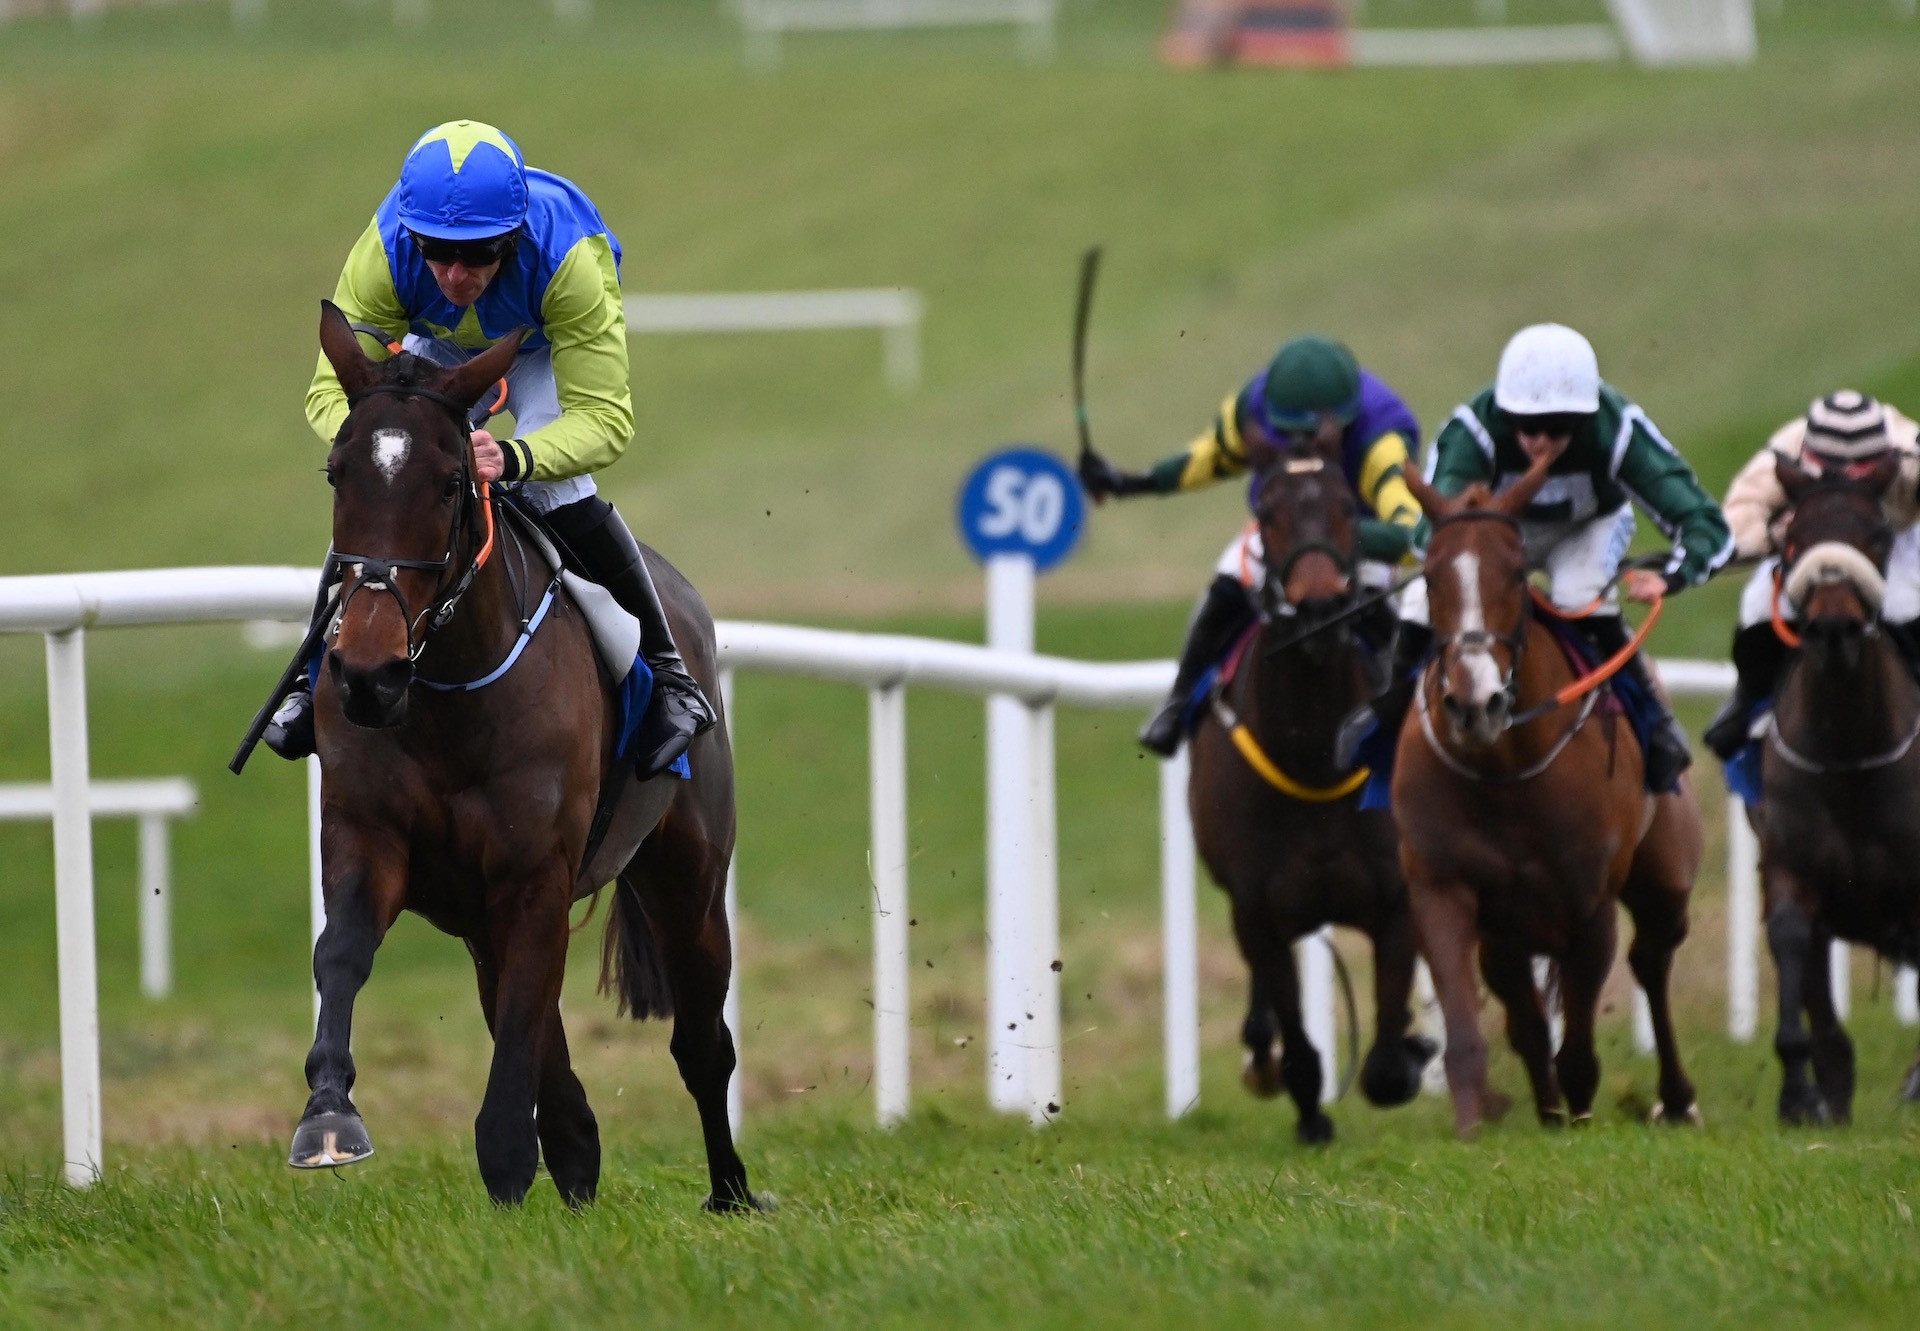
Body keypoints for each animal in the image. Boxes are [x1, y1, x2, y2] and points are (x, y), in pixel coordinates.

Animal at [291, 303, 756, 1213]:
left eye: (447, 483)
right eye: (337, 474)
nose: (366, 673)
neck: (446, 693)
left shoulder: (535, 870)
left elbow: (523, 1012)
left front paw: (507, 1154)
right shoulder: (371, 836)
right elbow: (344, 955)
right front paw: (328, 1117)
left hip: (686, 871)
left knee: (699, 1038)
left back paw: (730, 1190)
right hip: (480, 910)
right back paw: (577, 1153)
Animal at [1182, 457, 1443, 1144]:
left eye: (1347, 508)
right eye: (1268, 513)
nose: (1320, 604)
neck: (1315, 760)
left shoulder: (1396, 901)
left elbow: (1385, 1063)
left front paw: (1414, 1055)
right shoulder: (1258, 910)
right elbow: (1295, 1034)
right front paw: (1307, 1109)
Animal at [1397, 459, 1712, 1144]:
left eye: (1517, 574)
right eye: (1429, 576)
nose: (1475, 702)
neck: (1505, 771)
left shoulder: (1587, 901)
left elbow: (1581, 1043)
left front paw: (1580, 1116)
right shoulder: (1443, 886)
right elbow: (1476, 1024)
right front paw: (1475, 1124)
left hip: (1665, 878)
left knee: (1651, 960)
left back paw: (1675, 1099)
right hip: (1509, 929)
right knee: (1527, 1010)